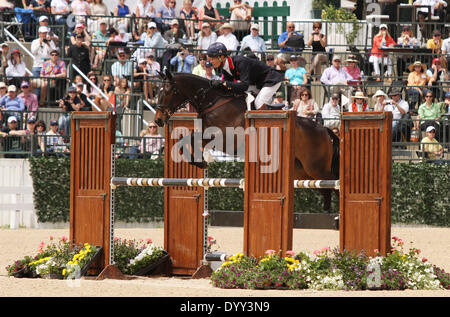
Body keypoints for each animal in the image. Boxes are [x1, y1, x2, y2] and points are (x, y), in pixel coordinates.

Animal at [153, 70, 340, 211]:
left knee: (335, 184)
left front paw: (202, 162)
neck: (213, 102)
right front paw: (201, 161)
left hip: (316, 167)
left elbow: (189, 140)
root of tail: (323, 129)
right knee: (327, 190)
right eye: (158, 91)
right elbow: (185, 142)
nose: (158, 120)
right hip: (302, 170)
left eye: (167, 92)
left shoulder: (223, 137)